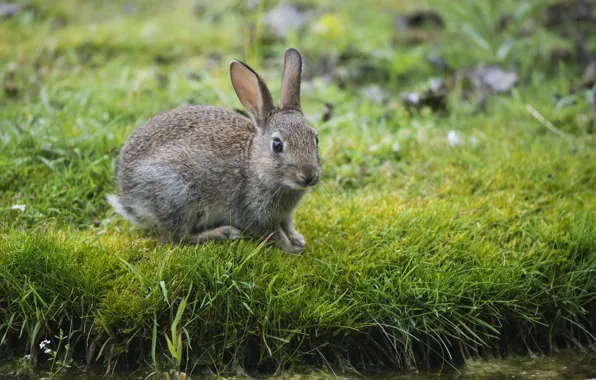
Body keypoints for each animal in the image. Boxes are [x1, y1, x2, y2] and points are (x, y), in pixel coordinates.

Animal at [107, 49, 322, 254]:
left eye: (316, 138)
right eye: (277, 145)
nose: (309, 176)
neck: (254, 164)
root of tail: (129, 195)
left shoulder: (284, 215)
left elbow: (287, 225)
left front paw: (298, 239)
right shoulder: (254, 212)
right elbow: (273, 233)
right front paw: (291, 248)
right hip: (178, 193)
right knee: (176, 238)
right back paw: (223, 233)